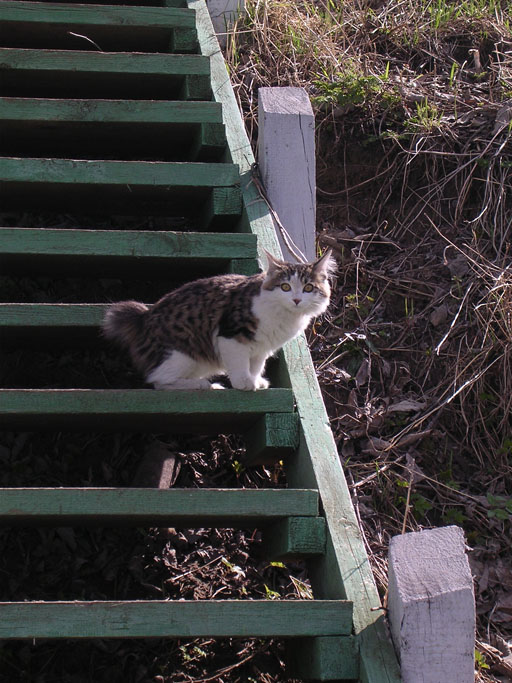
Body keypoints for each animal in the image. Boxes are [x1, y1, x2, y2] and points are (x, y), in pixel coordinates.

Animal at [103, 250, 336, 390]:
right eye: (285, 287)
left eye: (308, 288)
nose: (296, 300)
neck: (285, 317)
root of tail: (143, 317)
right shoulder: (231, 335)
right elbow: (240, 366)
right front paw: (244, 383)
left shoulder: (261, 348)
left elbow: (255, 366)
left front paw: (256, 381)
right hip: (183, 355)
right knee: (159, 381)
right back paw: (202, 385)